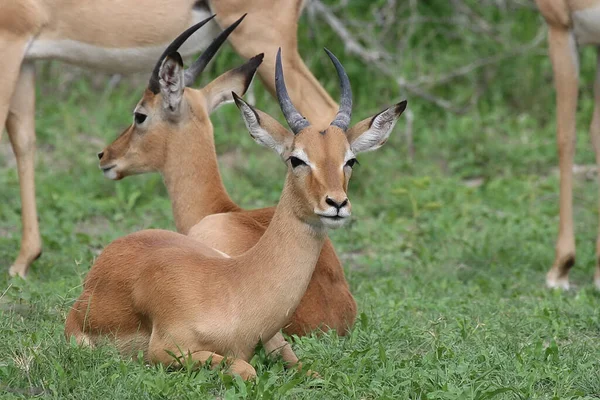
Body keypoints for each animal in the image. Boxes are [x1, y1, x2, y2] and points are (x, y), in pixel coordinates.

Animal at [0, 0, 338, 278]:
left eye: (139, 115)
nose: (105, 156)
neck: (220, 210)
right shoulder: (26, 57)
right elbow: (23, 139)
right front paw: (24, 260)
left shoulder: (11, 39)